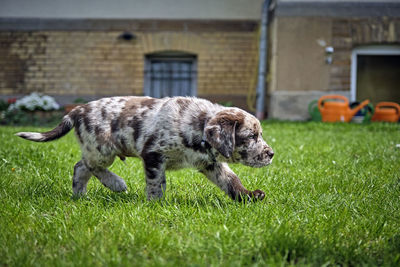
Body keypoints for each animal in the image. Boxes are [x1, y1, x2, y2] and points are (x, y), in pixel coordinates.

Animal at [15, 96, 274, 201]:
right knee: (86, 166)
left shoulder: (211, 163)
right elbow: (157, 184)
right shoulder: (153, 155)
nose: (271, 154)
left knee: (82, 168)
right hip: (102, 148)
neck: (197, 127)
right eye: (252, 136)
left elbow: (230, 180)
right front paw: (156, 205)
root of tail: (77, 110)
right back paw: (116, 183)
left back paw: (80, 196)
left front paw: (248, 196)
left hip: (98, 149)